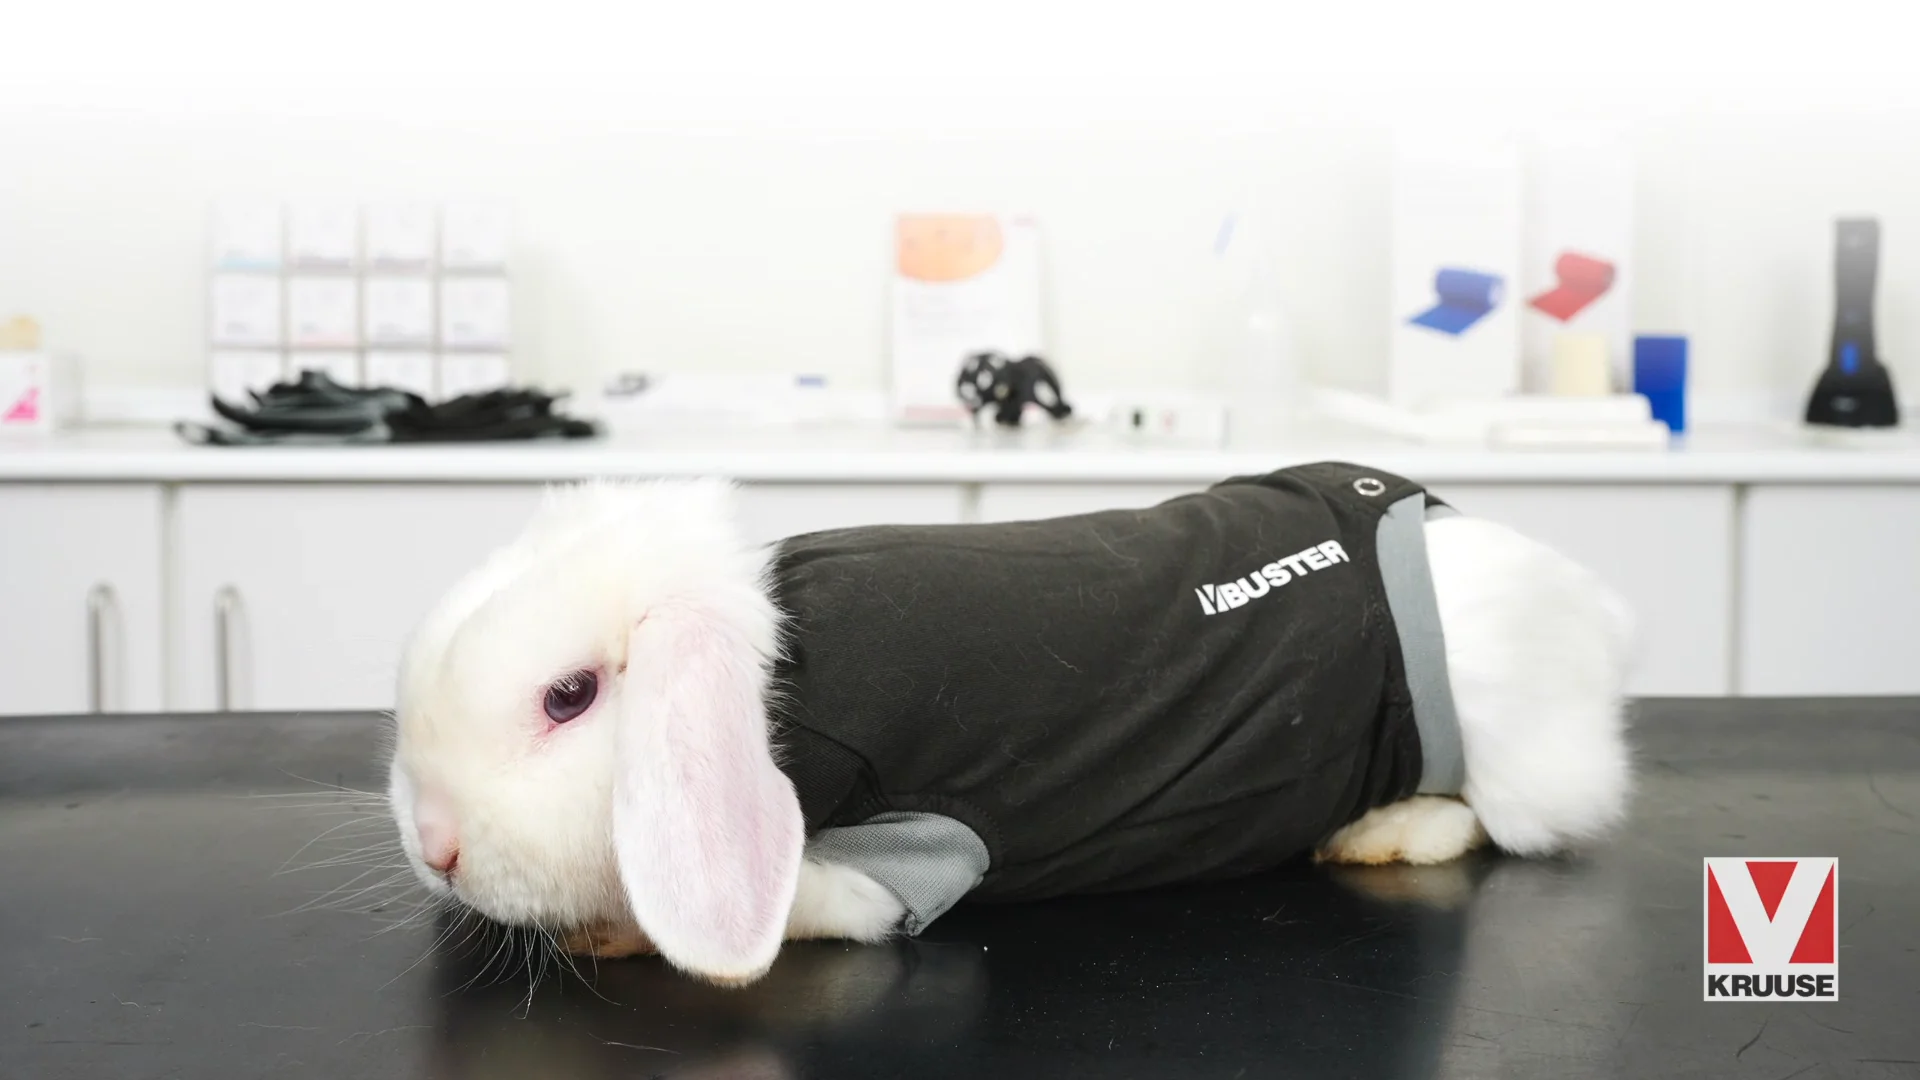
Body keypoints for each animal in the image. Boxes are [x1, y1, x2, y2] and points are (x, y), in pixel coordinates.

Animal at [387, 466, 1633, 987]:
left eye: (569, 698)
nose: (435, 849)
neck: (782, 694)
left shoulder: (901, 863)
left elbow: (806, 908)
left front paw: (613, 933)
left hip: (1515, 759)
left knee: (1502, 818)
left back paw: (1384, 833)